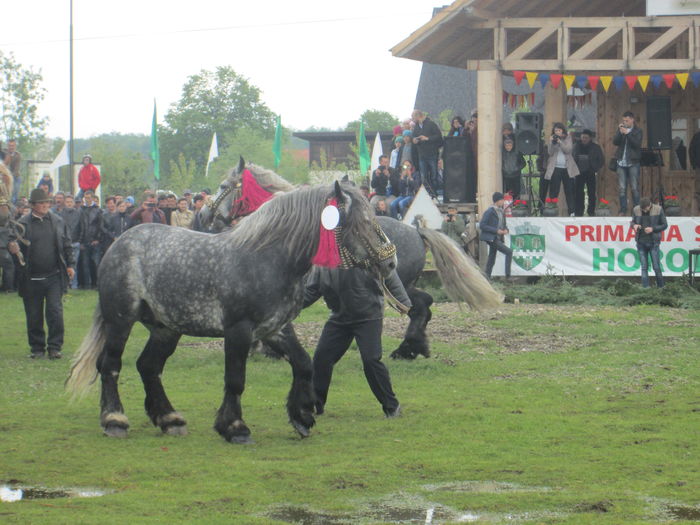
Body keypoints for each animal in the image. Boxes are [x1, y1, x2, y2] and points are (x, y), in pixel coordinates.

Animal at [67, 182, 396, 440]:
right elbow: (235, 379)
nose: (390, 262)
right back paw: (115, 420)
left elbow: (304, 364)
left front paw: (301, 416)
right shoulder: (239, 329)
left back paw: (169, 419)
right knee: (110, 365)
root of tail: (119, 243)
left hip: (165, 328)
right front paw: (234, 427)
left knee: (148, 366)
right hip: (120, 319)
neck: (269, 258)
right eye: (362, 222)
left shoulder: (275, 328)